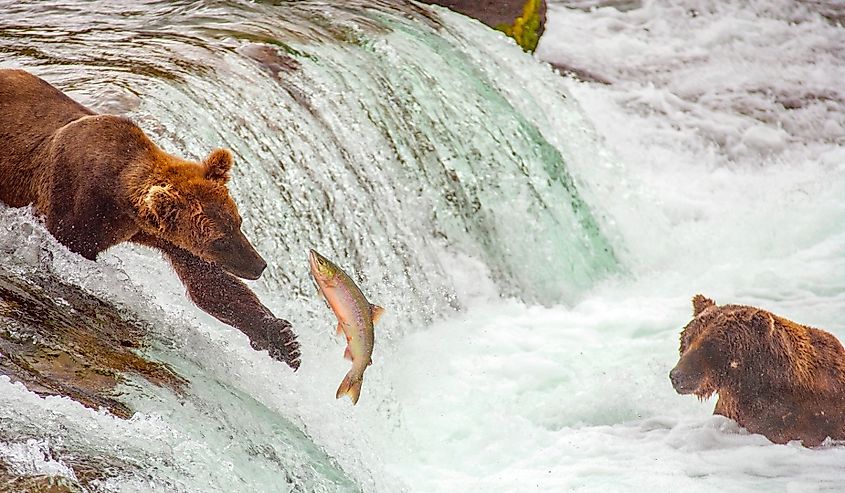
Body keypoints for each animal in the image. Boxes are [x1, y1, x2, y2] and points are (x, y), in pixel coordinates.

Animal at [0, 69, 302, 368]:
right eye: (219, 241)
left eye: (238, 221)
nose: (259, 265)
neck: (120, 193)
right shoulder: (75, 199)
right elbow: (68, 248)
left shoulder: (162, 234)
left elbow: (210, 284)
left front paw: (284, 339)